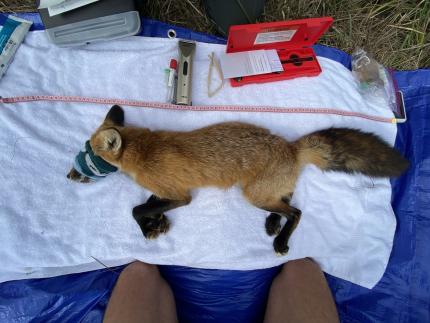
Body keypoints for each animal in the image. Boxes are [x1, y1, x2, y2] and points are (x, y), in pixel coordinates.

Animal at [69, 106, 408, 256]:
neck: (144, 151)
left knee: (297, 212)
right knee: (287, 201)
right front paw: (157, 224)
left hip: (253, 195)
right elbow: (149, 205)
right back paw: (273, 224)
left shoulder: (180, 195)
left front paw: (149, 227)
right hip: (265, 193)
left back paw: (281, 240)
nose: (69, 175)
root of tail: (291, 146)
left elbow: (138, 209)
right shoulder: (165, 191)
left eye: (88, 155)